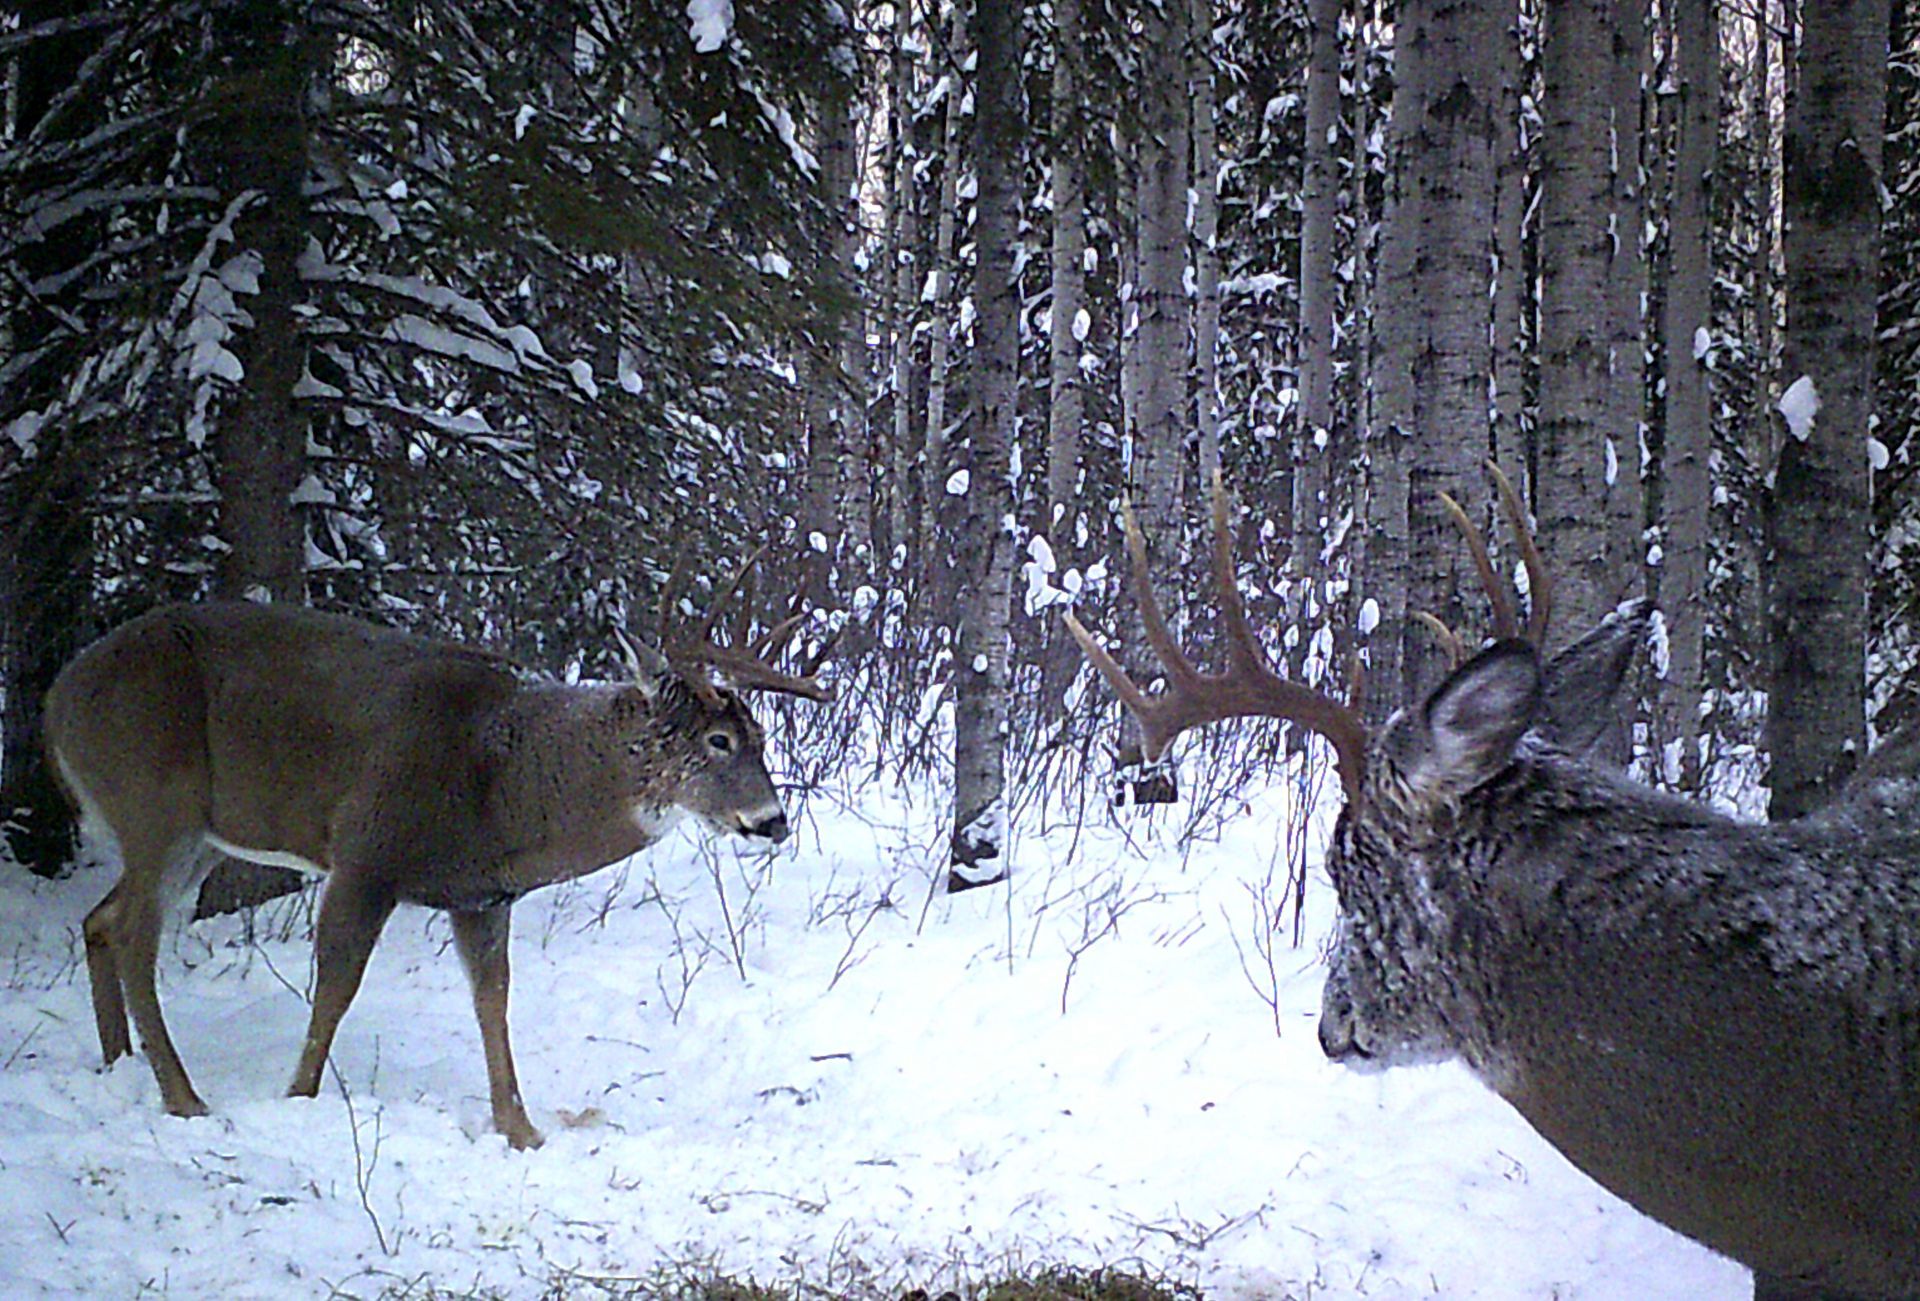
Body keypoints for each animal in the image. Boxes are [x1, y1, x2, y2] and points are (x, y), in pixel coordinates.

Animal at [45, 568, 830, 1150]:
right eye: (718, 741)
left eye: (761, 736)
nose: (772, 820)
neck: (506, 781)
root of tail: (57, 703)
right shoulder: (366, 853)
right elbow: (337, 987)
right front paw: (299, 1097)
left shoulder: (480, 895)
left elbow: (493, 1000)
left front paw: (520, 1129)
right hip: (155, 799)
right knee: (135, 932)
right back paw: (184, 1097)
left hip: (196, 836)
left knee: (102, 918)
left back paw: (119, 1060)